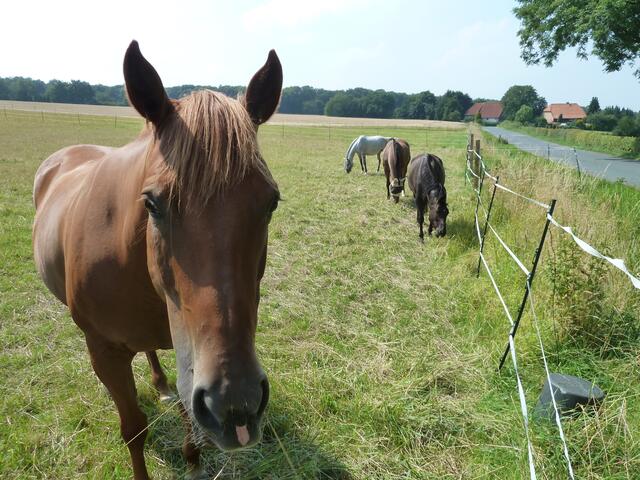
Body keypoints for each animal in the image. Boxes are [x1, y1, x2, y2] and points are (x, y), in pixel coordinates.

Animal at [32, 41, 283, 480]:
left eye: (271, 202)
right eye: (151, 203)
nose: (236, 405)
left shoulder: (186, 346)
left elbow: (187, 405)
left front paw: (193, 456)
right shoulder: (106, 353)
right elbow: (133, 428)